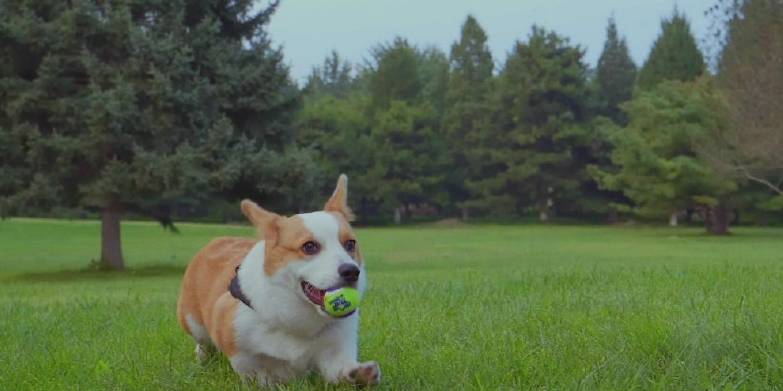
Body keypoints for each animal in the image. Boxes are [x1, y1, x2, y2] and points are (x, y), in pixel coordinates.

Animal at [181, 176, 382, 388]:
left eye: (350, 244)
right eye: (309, 246)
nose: (351, 271)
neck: (299, 317)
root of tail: (217, 240)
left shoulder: (336, 350)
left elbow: (340, 370)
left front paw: (361, 375)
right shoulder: (235, 340)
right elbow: (253, 370)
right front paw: (268, 381)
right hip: (192, 322)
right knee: (203, 342)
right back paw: (203, 357)